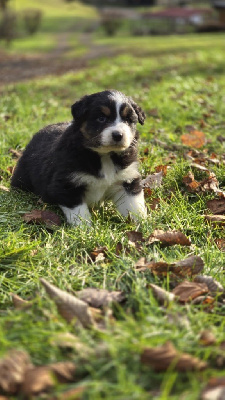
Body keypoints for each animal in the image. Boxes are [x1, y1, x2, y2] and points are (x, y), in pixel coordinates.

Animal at [11, 89, 147, 225]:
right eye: (101, 118)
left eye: (128, 120)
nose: (118, 135)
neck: (104, 156)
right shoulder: (66, 186)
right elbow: (80, 214)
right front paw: (85, 229)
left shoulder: (127, 180)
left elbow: (134, 206)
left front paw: (143, 223)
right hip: (22, 177)